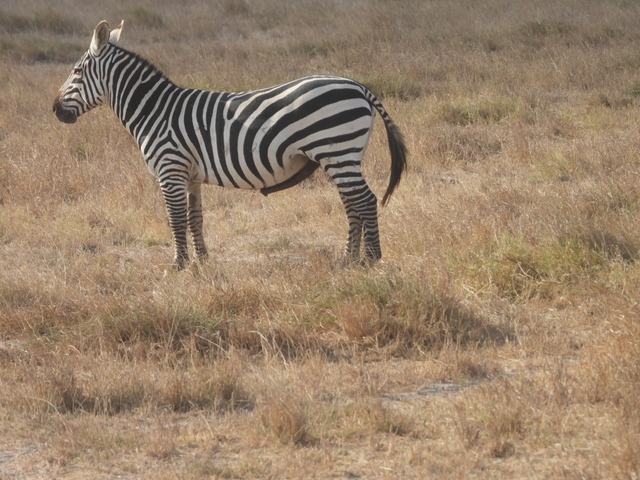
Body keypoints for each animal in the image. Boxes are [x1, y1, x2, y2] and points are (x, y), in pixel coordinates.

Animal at [53, 20, 407, 270]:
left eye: (76, 71)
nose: (55, 110)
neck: (154, 110)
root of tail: (358, 86)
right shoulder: (190, 176)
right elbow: (195, 218)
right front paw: (203, 262)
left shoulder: (170, 170)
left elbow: (175, 219)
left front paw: (178, 265)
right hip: (340, 156)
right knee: (352, 203)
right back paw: (349, 258)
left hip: (337, 150)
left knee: (364, 200)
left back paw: (370, 259)